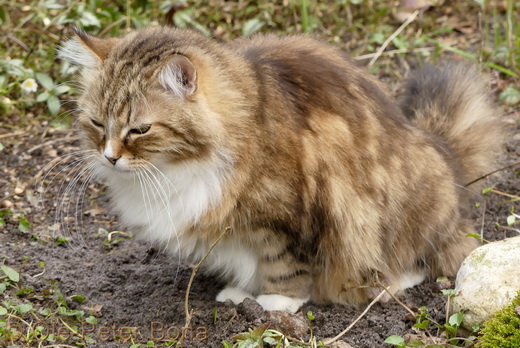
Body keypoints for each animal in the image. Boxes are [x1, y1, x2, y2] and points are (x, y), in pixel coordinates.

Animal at [58, 25, 504, 312]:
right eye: (97, 124)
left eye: (140, 129)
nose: (109, 156)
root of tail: (442, 152)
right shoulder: (233, 230)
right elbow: (247, 262)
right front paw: (241, 294)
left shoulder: (285, 217)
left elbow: (285, 266)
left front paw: (276, 303)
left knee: (428, 259)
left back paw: (386, 284)